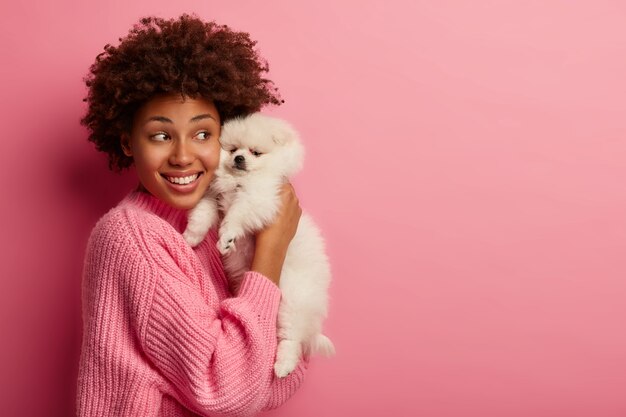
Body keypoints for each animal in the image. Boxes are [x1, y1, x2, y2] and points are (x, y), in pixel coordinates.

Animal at [183, 112, 334, 376]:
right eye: (233, 149)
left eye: (255, 152)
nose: (239, 158)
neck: (239, 182)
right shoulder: (214, 197)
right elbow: (203, 213)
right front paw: (191, 236)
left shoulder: (260, 197)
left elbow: (237, 213)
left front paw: (227, 237)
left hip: (294, 298)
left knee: (292, 337)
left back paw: (283, 366)